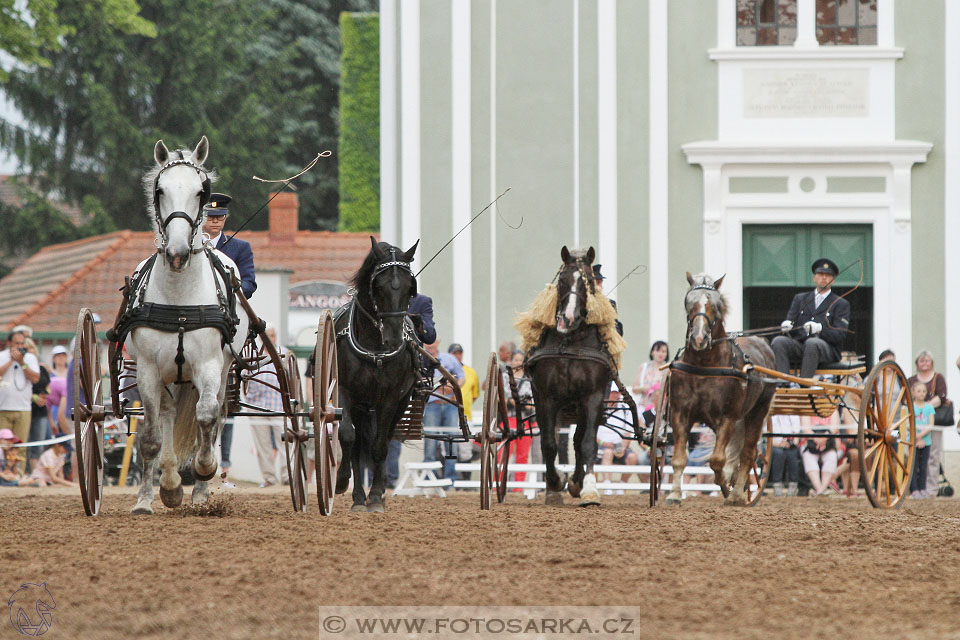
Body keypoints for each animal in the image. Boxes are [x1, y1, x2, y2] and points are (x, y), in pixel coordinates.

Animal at [129, 138, 249, 512]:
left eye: (201, 191)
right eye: (160, 190)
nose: (178, 253)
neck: (180, 299)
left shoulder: (209, 364)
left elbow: (207, 417)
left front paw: (204, 470)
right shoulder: (148, 370)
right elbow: (150, 435)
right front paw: (148, 498)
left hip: (221, 370)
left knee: (214, 415)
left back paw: (199, 489)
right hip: (171, 375)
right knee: (168, 414)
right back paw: (169, 481)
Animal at [332, 238, 418, 512]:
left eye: (410, 288)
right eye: (377, 286)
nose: (393, 338)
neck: (375, 347)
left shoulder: (390, 398)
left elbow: (379, 446)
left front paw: (377, 497)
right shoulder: (344, 392)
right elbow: (347, 436)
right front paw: (341, 481)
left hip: (397, 404)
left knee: (383, 440)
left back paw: (373, 495)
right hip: (361, 405)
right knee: (358, 444)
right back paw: (358, 497)